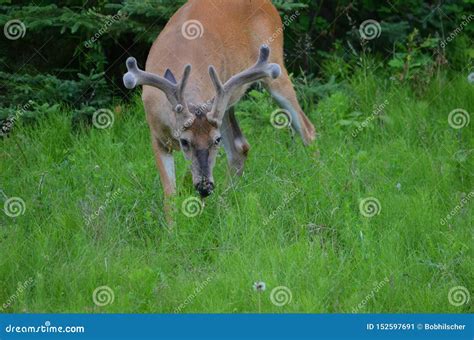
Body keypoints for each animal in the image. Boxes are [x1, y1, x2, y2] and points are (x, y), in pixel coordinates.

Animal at [123, 0, 314, 201]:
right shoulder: (157, 136)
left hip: (275, 66)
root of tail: (270, 5)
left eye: (216, 140)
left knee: (307, 129)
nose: (205, 188)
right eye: (184, 141)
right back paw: (225, 198)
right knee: (240, 147)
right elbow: (170, 193)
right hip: (226, 103)